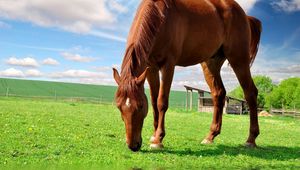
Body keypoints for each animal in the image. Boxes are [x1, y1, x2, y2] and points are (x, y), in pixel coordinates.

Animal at [112, 0, 260, 151]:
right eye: (118, 106)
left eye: (141, 106)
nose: (133, 145)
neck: (160, 16)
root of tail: (244, 15)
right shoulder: (151, 68)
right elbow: (153, 102)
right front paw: (154, 135)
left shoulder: (168, 65)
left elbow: (161, 102)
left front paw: (158, 139)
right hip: (211, 63)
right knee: (219, 93)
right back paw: (210, 136)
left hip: (238, 59)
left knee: (250, 93)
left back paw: (251, 139)